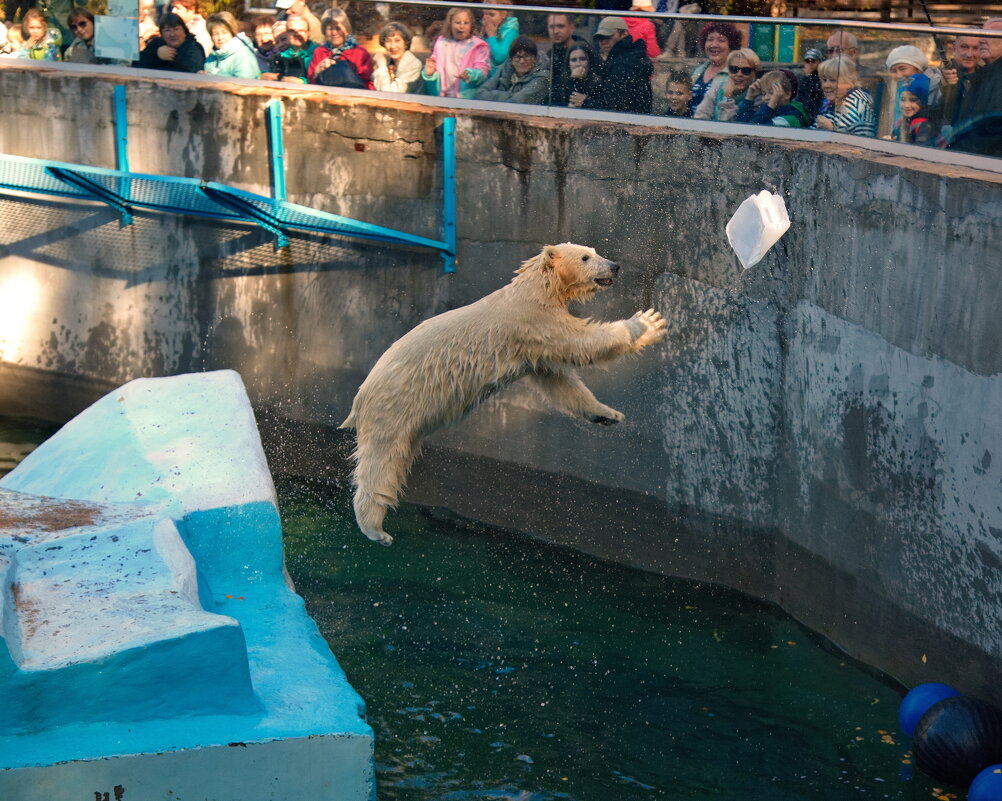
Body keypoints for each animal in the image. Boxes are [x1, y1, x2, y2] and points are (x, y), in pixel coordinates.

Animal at [342, 244, 665, 545]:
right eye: (585, 257)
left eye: (595, 251)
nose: (615, 266)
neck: (536, 288)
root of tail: (360, 398)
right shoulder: (534, 320)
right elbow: (581, 342)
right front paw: (648, 323)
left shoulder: (534, 346)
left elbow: (558, 382)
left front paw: (608, 414)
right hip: (395, 405)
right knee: (382, 460)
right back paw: (375, 529)